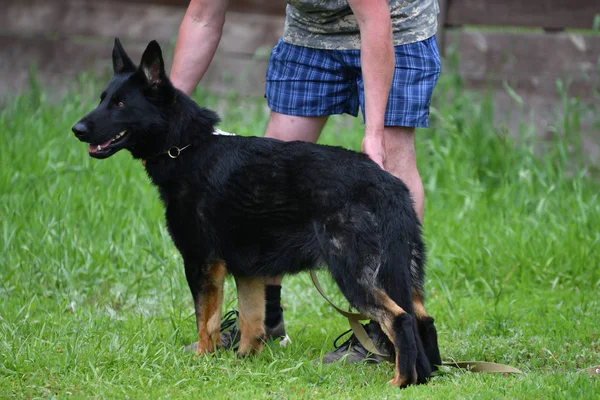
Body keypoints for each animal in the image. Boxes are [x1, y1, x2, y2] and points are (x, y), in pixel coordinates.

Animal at [72, 39, 442, 390]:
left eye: (120, 104)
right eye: (103, 99)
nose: (76, 129)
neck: (187, 147)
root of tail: (388, 186)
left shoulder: (201, 262)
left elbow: (205, 321)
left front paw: (202, 360)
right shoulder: (248, 272)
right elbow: (252, 321)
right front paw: (243, 361)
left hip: (353, 274)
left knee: (399, 319)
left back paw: (400, 380)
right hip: (402, 275)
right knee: (423, 319)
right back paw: (425, 377)